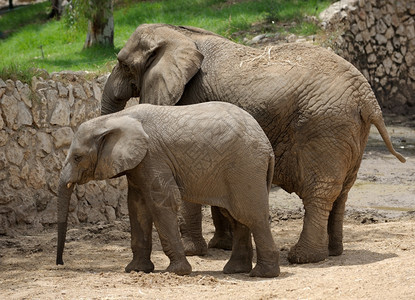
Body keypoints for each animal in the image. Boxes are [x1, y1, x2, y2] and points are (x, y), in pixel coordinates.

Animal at [56, 102, 280, 278]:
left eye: (77, 157)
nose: (60, 264)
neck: (113, 119)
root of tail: (267, 145)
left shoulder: (153, 157)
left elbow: (162, 203)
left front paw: (176, 272)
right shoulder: (139, 164)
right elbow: (137, 207)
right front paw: (136, 270)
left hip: (245, 167)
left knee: (251, 216)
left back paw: (263, 274)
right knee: (236, 217)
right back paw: (235, 270)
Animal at [101, 23, 406, 264]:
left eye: (123, 64)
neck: (179, 34)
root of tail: (368, 97)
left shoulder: (189, 99)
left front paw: (192, 251)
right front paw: (220, 246)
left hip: (324, 125)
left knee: (320, 191)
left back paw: (303, 257)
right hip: (351, 131)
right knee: (342, 191)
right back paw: (333, 252)